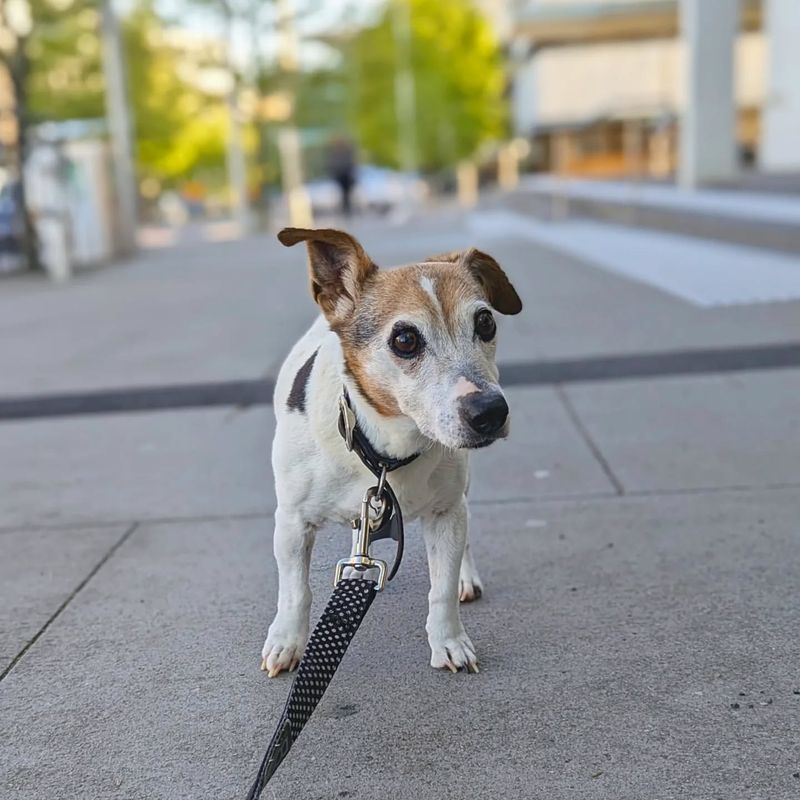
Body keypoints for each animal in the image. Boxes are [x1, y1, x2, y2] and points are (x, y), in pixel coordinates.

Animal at [260, 228, 524, 680]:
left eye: (486, 322)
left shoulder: (446, 515)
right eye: (405, 339)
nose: (491, 412)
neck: (387, 452)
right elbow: (296, 592)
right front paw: (287, 641)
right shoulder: (293, 522)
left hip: (461, 493)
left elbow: (441, 589)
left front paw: (449, 641)